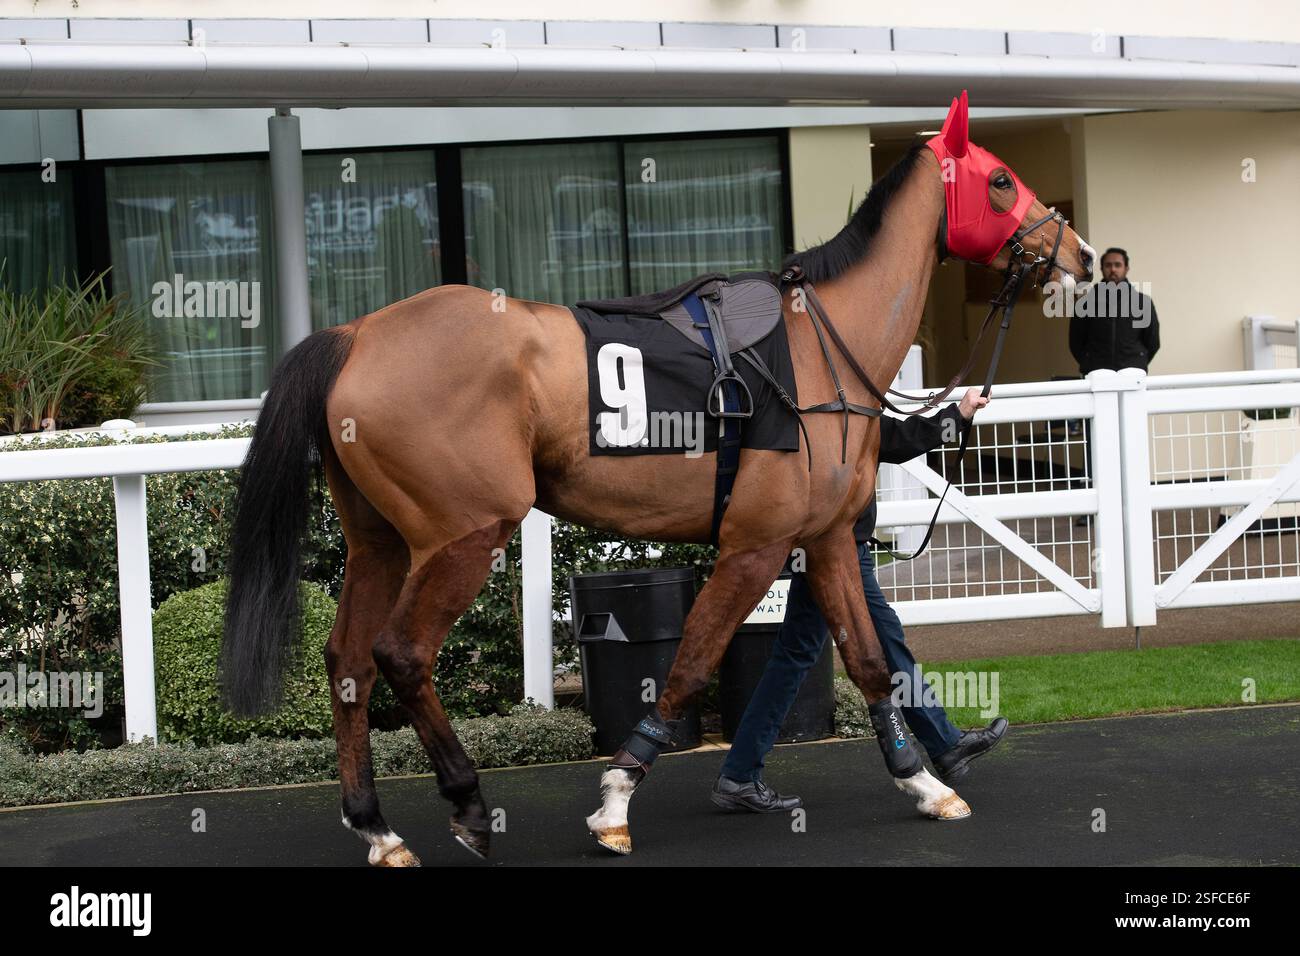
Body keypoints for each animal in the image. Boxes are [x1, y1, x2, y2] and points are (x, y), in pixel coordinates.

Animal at [220, 91, 1095, 865]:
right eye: (1001, 179)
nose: (1082, 254)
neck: (821, 349)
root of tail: (355, 334)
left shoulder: (824, 539)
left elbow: (872, 659)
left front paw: (926, 784)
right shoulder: (754, 545)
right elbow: (684, 670)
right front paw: (614, 804)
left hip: (381, 543)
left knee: (348, 663)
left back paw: (378, 828)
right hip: (464, 536)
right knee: (401, 654)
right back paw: (466, 803)